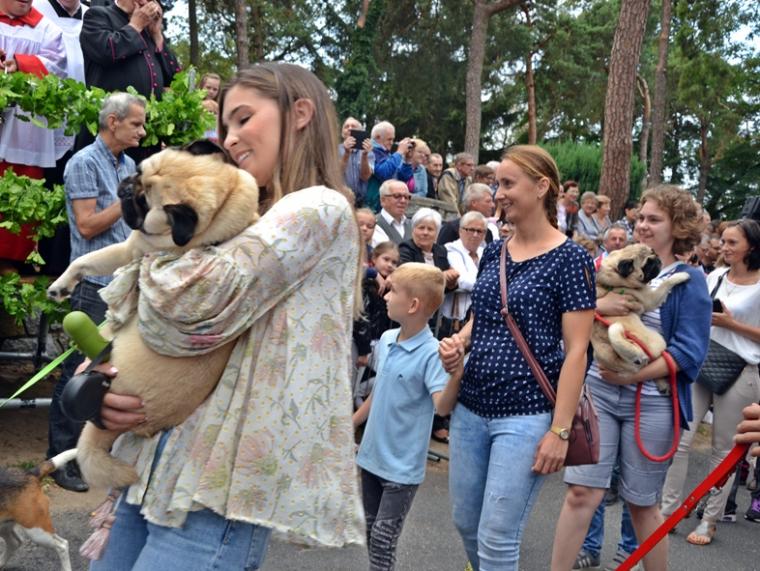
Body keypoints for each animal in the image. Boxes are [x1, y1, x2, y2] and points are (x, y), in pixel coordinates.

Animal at [47, 140, 259, 488]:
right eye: (138, 169)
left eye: (144, 203)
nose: (125, 187)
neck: (223, 209)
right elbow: (85, 261)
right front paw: (61, 285)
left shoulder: (132, 248)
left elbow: (89, 260)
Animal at [591, 244, 690, 394]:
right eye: (647, 265)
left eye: (653, 251)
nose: (657, 259)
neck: (614, 271)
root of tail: (620, 359)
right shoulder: (650, 298)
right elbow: (666, 283)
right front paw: (681, 275)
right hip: (658, 340)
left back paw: (662, 384)